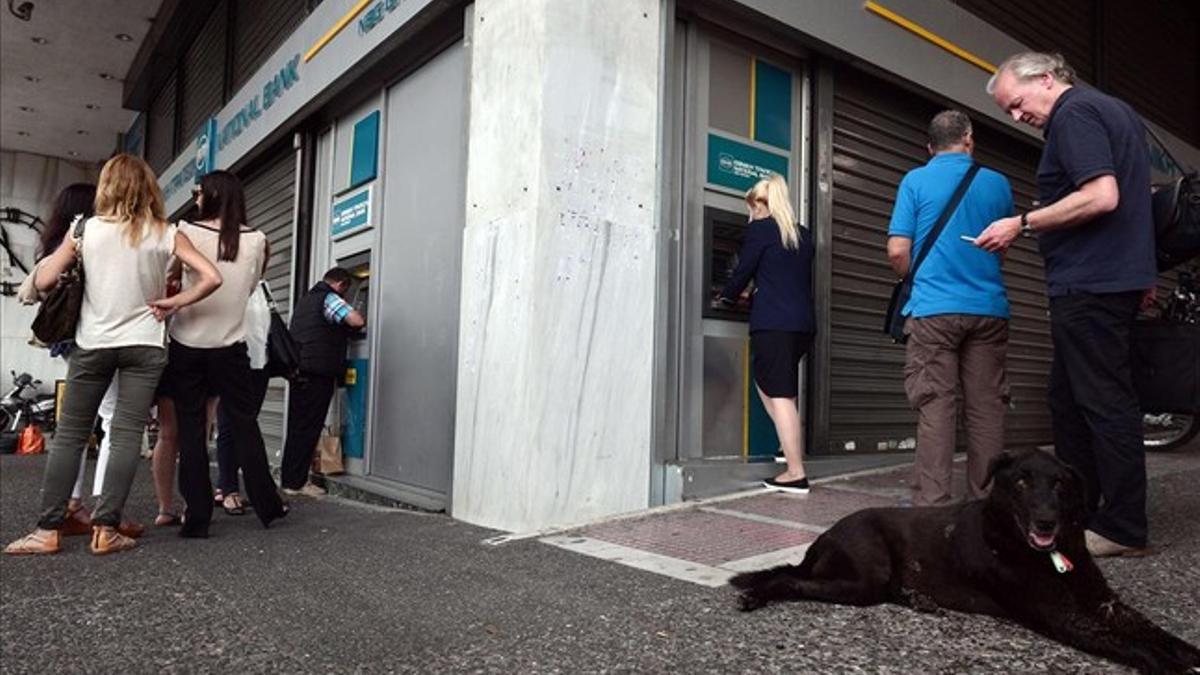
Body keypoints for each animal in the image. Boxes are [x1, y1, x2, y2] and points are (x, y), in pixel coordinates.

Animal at [729, 449, 1200, 667]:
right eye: (1022, 481)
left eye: (1061, 484)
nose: (1047, 521)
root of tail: (822, 537)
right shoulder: (1062, 616)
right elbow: (1129, 643)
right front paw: (1164, 663)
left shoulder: (1106, 603)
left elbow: (1153, 630)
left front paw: (1187, 652)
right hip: (864, 578)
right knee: (790, 580)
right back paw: (755, 595)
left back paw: (919, 598)